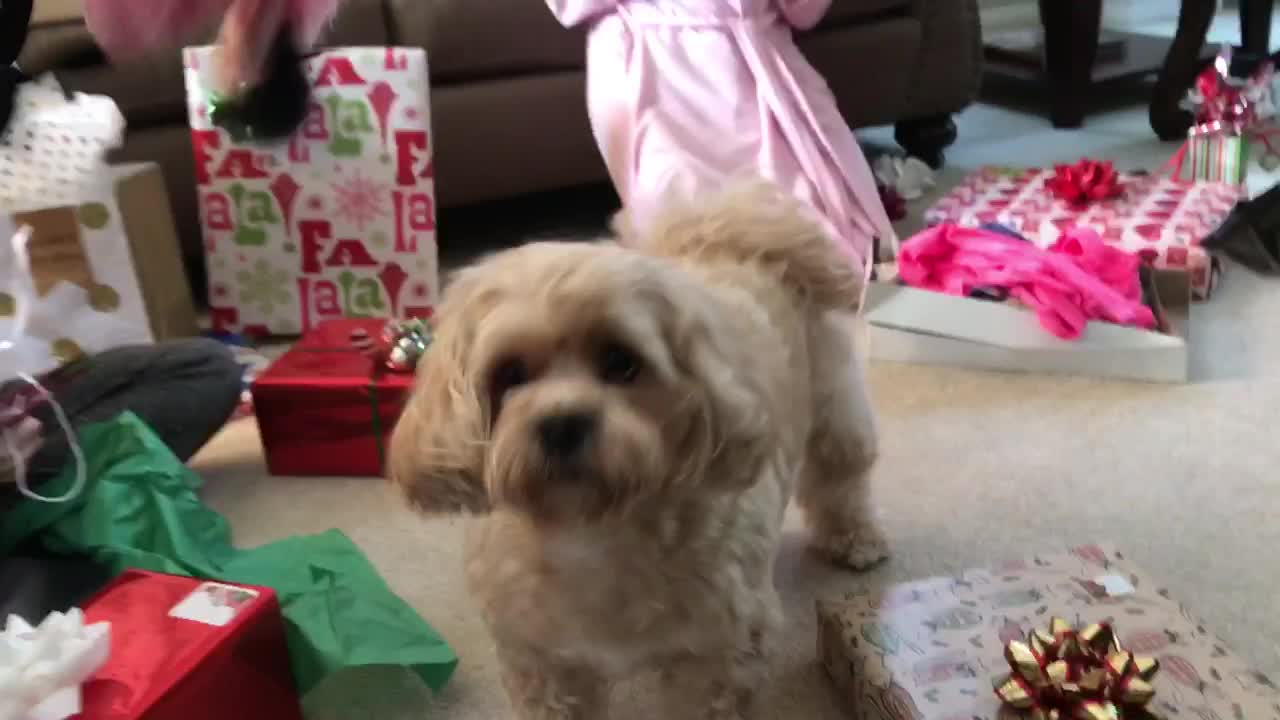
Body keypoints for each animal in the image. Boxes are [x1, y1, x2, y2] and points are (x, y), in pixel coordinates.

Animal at [389, 185, 885, 717]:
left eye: (621, 362)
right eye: (510, 373)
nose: (562, 424)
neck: (593, 531)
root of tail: (735, 229)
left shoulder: (715, 659)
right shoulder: (543, 663)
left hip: (835, 407)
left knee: (841, 477)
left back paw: (856, 538)